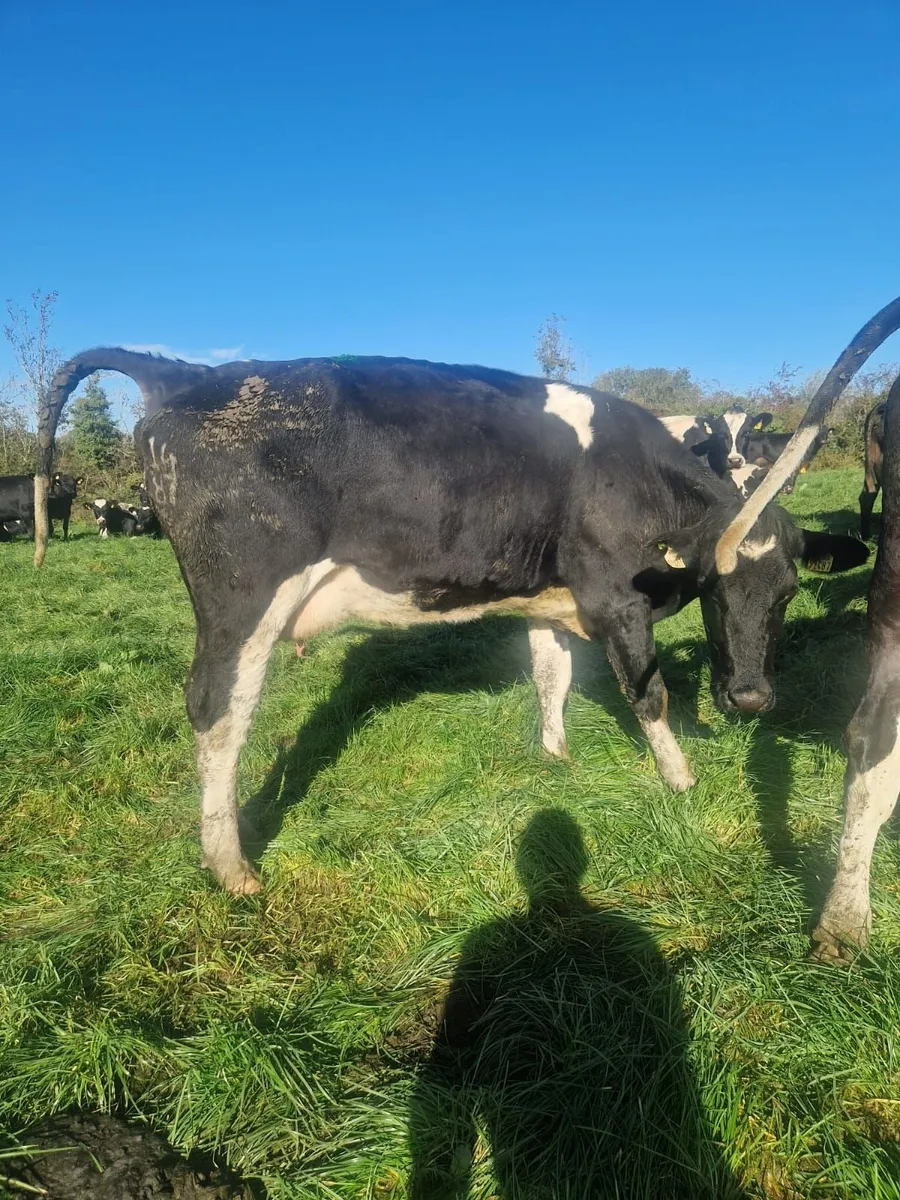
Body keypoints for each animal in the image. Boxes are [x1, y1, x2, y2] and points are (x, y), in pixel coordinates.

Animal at [34, 306, 896, 896]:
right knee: (218, 713)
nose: (750, 698)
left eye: (787, 593)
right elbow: (648, 693)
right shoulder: (614, 599)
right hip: (241, 601)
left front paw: (554, 754)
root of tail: (184, 373)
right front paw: (680, 779)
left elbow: (551, 675)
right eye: (718, 591)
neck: (636, 475)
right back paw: (230, 865)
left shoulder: (552, 598)